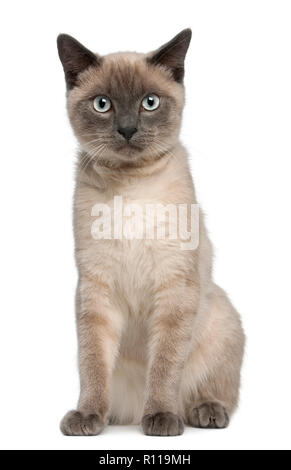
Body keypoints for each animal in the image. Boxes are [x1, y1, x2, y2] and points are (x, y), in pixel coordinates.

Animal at [57, 30, 246, 436]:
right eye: (103, 105)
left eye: (150, 102)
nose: (128, 130)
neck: (131, 185)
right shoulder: (96, 291)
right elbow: (92, 364)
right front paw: (87, 417)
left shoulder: (174, 288)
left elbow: (164, 366)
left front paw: (160, 417)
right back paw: (112, 417)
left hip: (221, 317)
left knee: (212, 390)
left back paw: (204, 412)